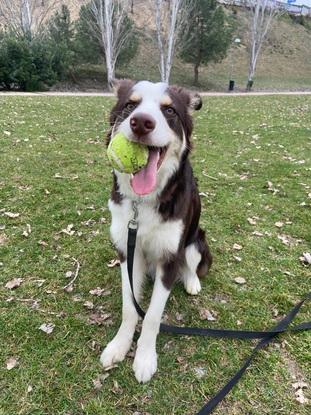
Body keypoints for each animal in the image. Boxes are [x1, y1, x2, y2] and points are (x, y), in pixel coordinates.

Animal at [101, 80, 213, 384]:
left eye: (169, 110)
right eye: (131, 104)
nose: (141, 123)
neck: (144, 202)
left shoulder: (169, 258)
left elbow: (151, 315)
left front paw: (144, 358)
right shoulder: (127, 251)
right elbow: (130, 307)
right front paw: (119, 345)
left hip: (196, 240)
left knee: (191, 265)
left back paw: (192, 282)